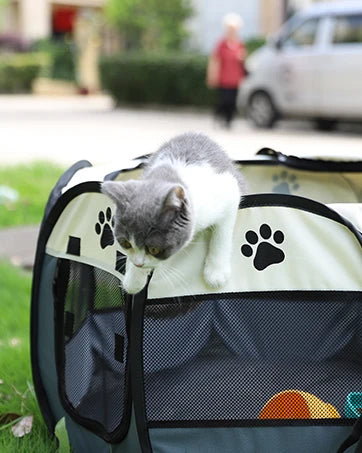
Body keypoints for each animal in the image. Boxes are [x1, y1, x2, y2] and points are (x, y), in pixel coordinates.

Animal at [102, 132, 246, 294]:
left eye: (154, 249)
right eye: (126, 243)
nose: (139, 264)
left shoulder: (228, 191)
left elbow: (222, 233)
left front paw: (216, 272)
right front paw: (134, 280)